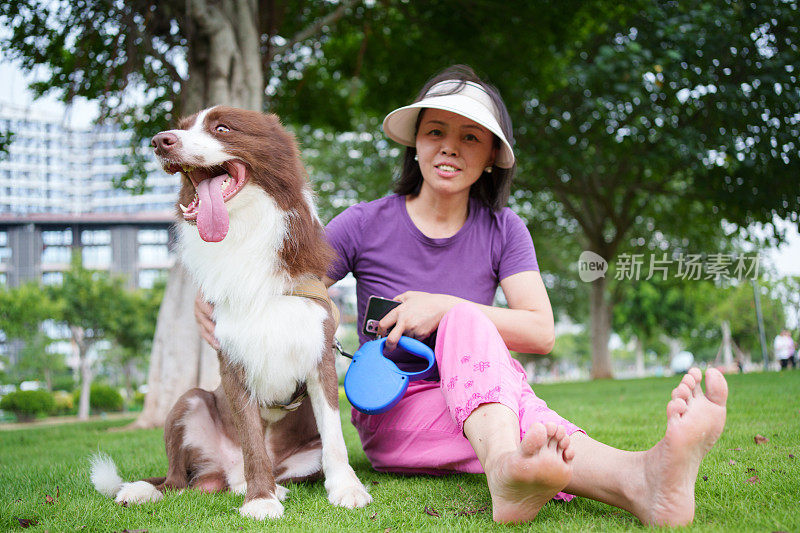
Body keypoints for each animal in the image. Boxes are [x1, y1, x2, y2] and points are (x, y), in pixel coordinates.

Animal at [90, 106, 372, 516]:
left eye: (222, 128)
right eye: (183, 126)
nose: (160, 141)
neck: (244, 235)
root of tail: (222, 473)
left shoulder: (320, 355)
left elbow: (335, 436)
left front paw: (347, 489)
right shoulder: (233, 361)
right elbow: (252, 440)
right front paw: (261, 500)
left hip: (304, 456)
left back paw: (263, 487)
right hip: (188, 401)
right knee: (179, 481)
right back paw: (150, 490)